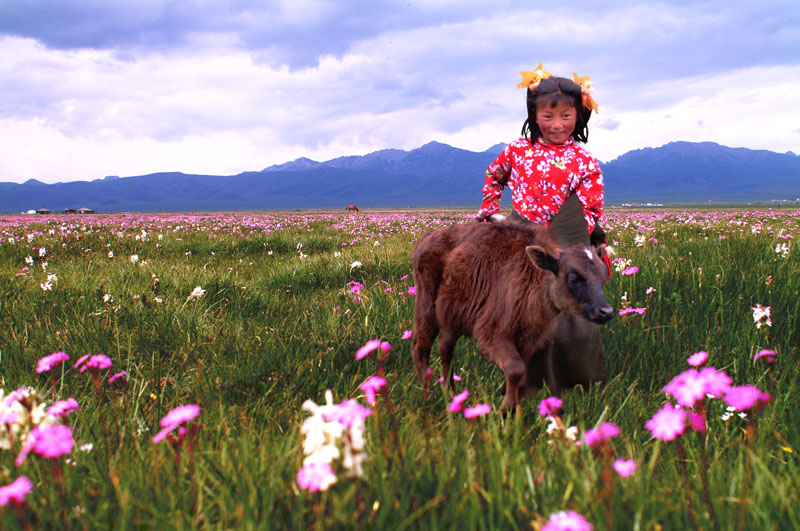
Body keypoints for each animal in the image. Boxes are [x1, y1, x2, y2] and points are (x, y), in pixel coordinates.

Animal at [412, 220, 612, 412]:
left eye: (603, 277)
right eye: (573, 278)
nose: (606, 311)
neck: (536, 275)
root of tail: (426, 238)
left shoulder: (528, 340)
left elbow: (521, 376)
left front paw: (514, 409)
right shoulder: (493, 334)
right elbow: (515, 369)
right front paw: (505, 409)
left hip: (450, 320)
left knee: (445, 349)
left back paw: (451, 393)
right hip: (427, 310)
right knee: (420, 347)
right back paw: (429, 395)